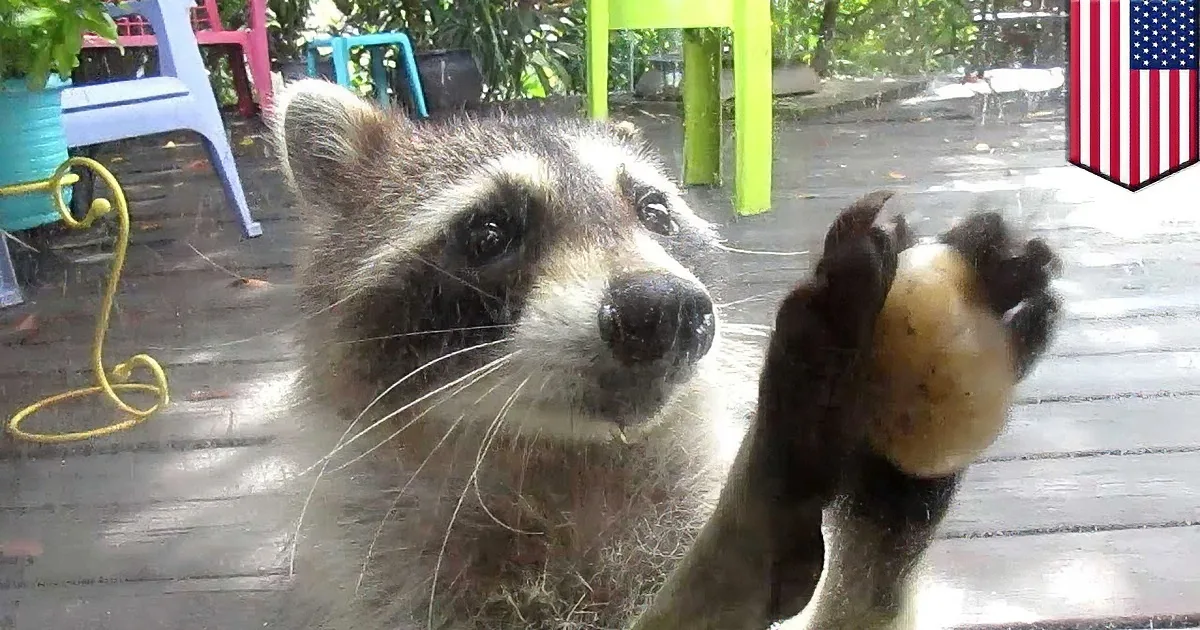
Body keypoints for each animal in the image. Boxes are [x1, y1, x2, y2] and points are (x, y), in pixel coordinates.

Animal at [269, 79, 1061, 630]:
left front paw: (889, 512)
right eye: (490, 232)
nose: (665, 311)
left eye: (653, 213)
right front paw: (743, 535)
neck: (567, 461)